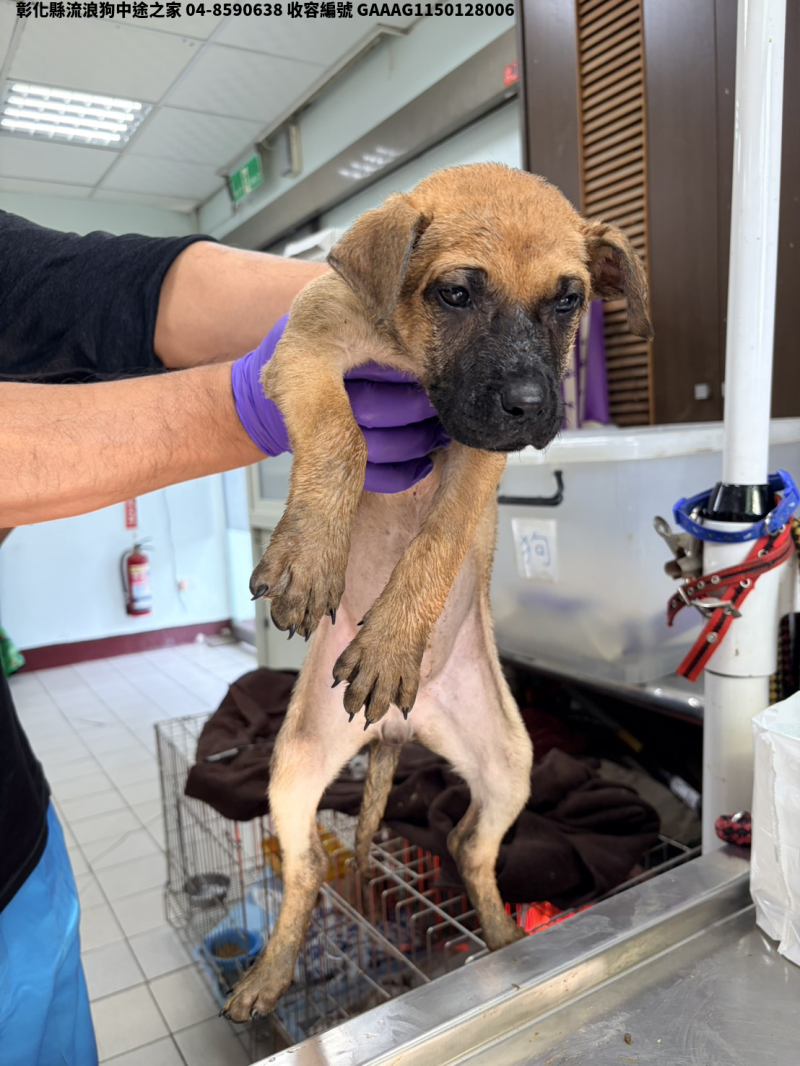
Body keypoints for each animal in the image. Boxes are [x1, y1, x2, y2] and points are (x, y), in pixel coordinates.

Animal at [222, 163, 652, 1022]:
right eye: (456, 292)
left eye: (569, 299)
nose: (532, 406)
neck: (404, 354)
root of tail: (401, 728)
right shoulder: (307, 353)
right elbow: (344, 437)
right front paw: (309, 556)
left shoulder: (478, 450)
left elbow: (439, 539)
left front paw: (390, 641)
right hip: (295, 765)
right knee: (306, 874)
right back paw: (271, 973)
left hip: (510, 761)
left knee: (467, 846)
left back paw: (503, 938)